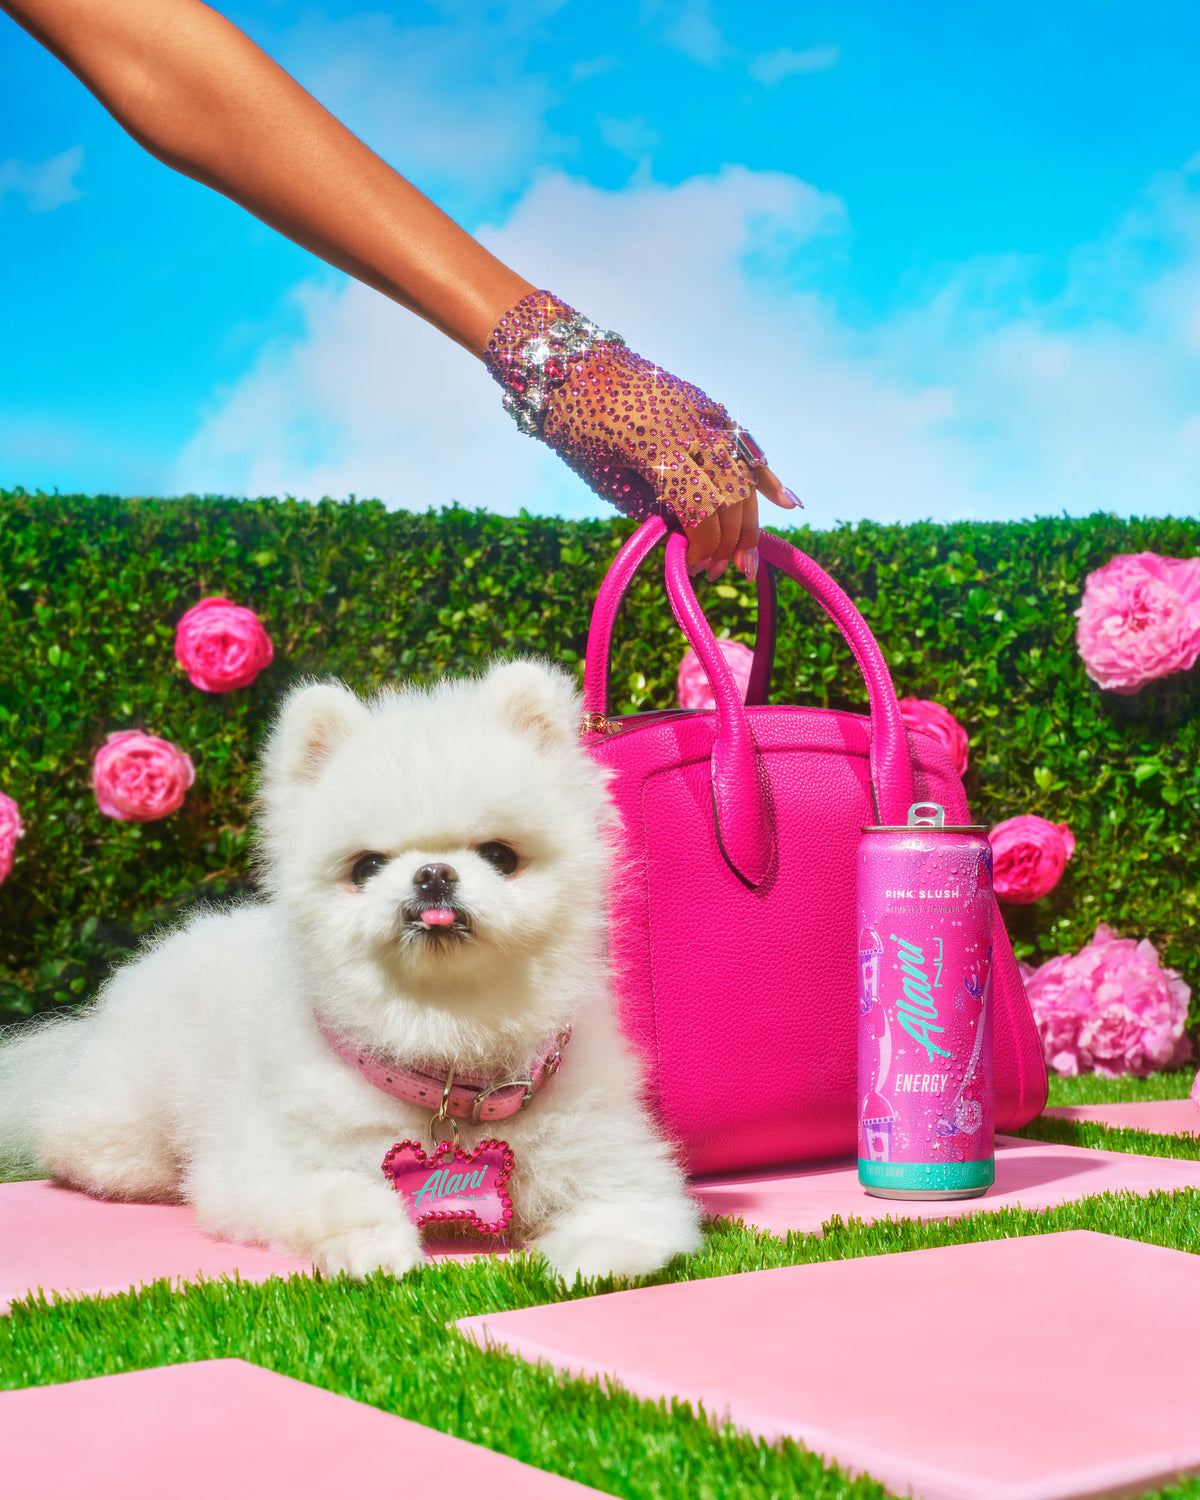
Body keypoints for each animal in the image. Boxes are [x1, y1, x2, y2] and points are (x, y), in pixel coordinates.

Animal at [0, 663, 702, 1284]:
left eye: (500, 856)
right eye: (366, 866)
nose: (433, 874)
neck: (447, 1044)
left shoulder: (619, 1164)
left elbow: (631, 1215)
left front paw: (594, 1258)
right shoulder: (262, 1167)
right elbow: (341, 1192)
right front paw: (376, 1244)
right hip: (120, 1136)